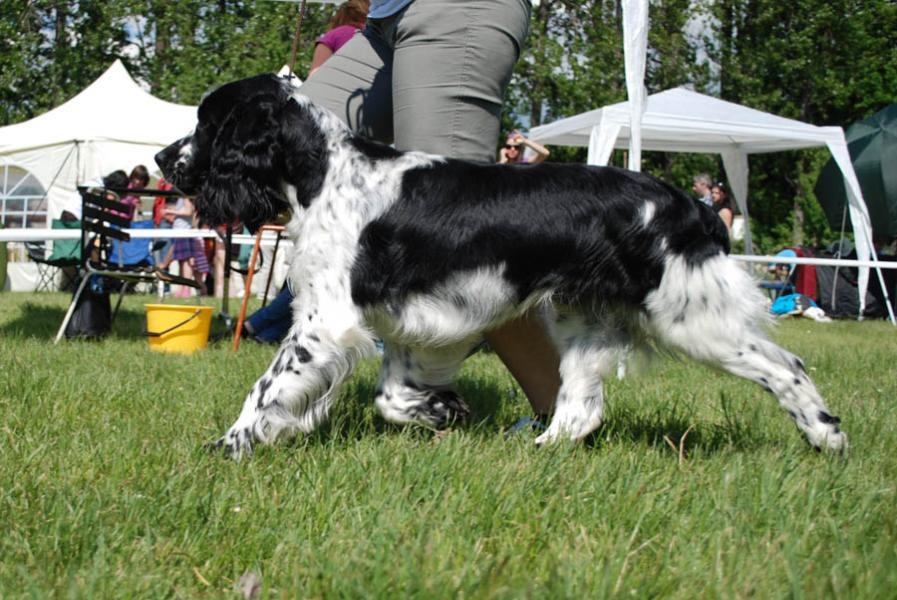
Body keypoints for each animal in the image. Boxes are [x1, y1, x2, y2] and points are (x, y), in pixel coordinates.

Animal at [156, 76, 848, 460]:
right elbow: (391, 397)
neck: (326, 173)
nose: (163, 158)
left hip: (689, 316)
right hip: (579, 318)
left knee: (787, 366)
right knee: (579, 408)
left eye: (208, 123)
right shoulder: (407, 323)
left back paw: (827, 439)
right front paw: (443, 412)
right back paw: (538, 453)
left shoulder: (326, 321)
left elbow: (266, 389)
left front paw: (230, 446)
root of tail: (689, 204)